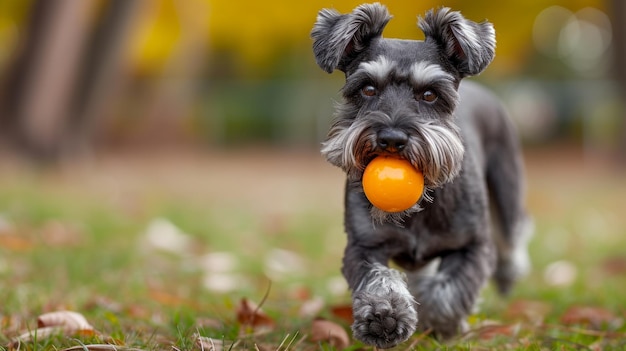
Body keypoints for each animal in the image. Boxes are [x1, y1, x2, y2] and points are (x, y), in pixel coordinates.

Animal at [310, 2, 528, 350]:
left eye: (429, 94)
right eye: (367, 88)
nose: (391, 139)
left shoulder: (473, 247)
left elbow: (448, 291)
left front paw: (440, 323)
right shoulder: (363, 247)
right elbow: (378, 279)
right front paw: (384, 316)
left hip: (507, 196)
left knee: (513, 237)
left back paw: (509, 274)